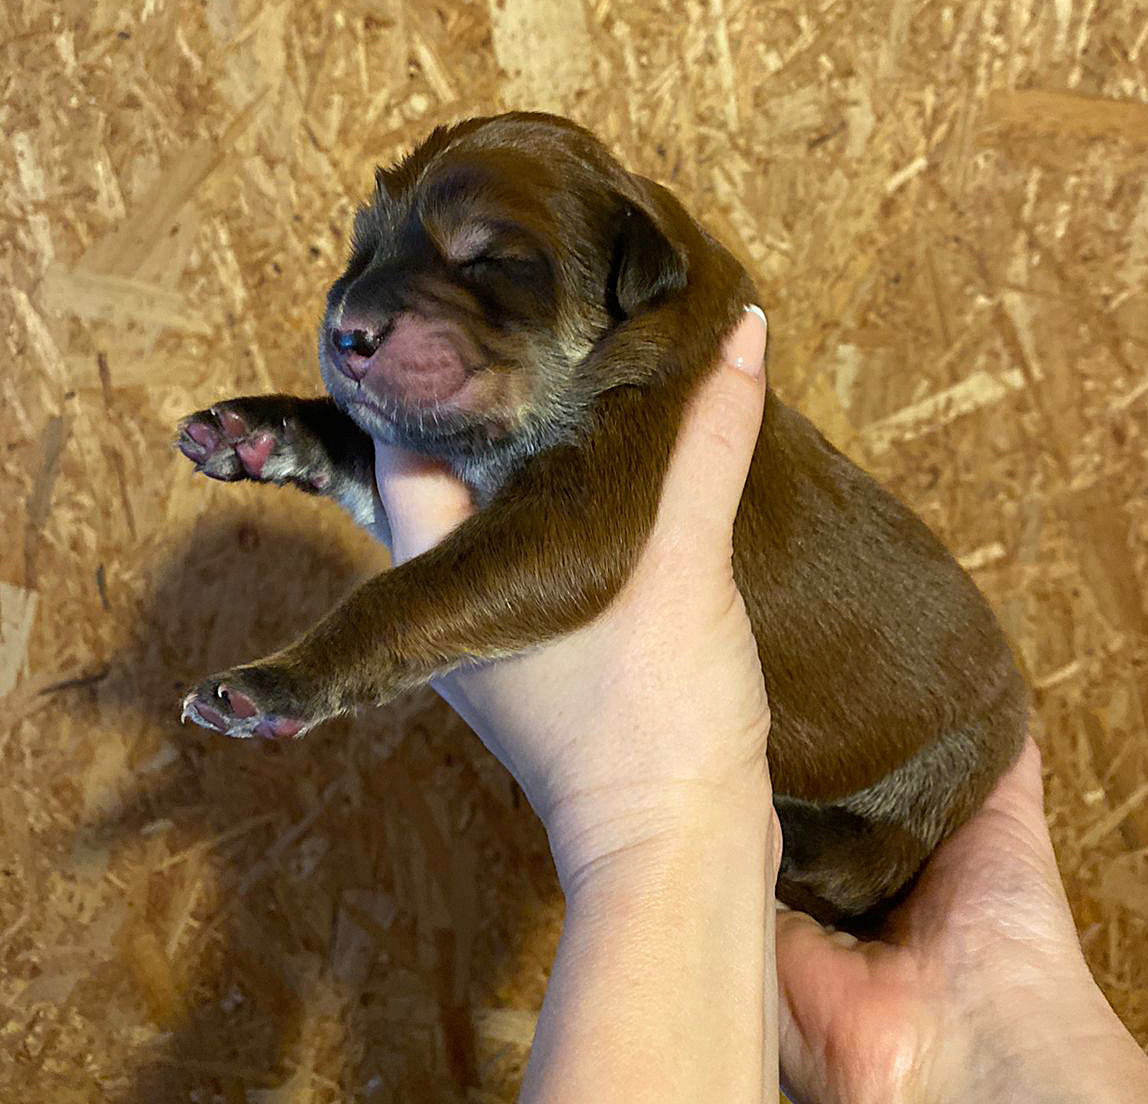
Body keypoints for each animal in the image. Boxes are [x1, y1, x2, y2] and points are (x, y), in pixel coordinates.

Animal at [176, 112, 1027, 922]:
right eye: (362, 252)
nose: (344, 331)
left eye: (487, 259)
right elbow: (357, 441)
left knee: (860, 862)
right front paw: (253, 431)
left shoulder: (595, 485)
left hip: (936, 778)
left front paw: (273, 683)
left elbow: (405, 595)